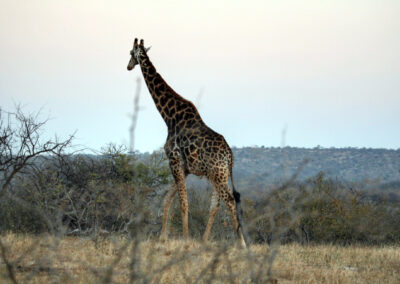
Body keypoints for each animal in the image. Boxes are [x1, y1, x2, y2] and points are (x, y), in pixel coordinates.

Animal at [127, 37, 247, 246]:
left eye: (129, 53)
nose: (128, 66)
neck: (169, 117)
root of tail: (230, 156)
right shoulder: (184, 167)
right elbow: (167, 199)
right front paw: (163, 237)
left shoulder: (174, 161)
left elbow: (183, 202)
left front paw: (185, 238)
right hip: (218, 174)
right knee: (215, 204)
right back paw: (204, 240)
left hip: (218, 174)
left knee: (230, 200)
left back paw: (241, 243)